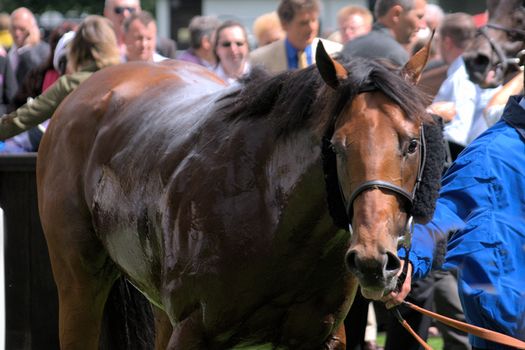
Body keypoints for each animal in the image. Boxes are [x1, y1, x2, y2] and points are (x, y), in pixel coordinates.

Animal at [35, 42, 442, 348]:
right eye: (337, 146)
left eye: (411, 144)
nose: (374, 260)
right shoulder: (193, 331)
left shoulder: (323, 337)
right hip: (79, 286)